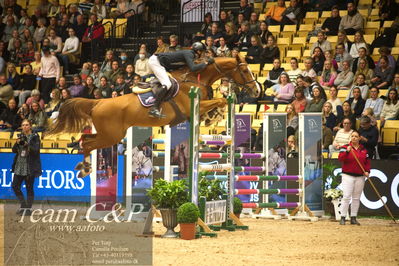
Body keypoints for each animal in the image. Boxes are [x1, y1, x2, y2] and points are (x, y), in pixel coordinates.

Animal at [47, 55, 262, 177]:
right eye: (244, 70)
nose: (257, 90)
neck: (195, 78)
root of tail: (98, 102)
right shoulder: (192, 107)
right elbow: (219, 101)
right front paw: (216, 113)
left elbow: (219, 102)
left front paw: (213, 116)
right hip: (112, 135)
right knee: (88, 143)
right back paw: (85, 168)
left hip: (108, 134)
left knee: (85, 139)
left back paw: (83, 166)